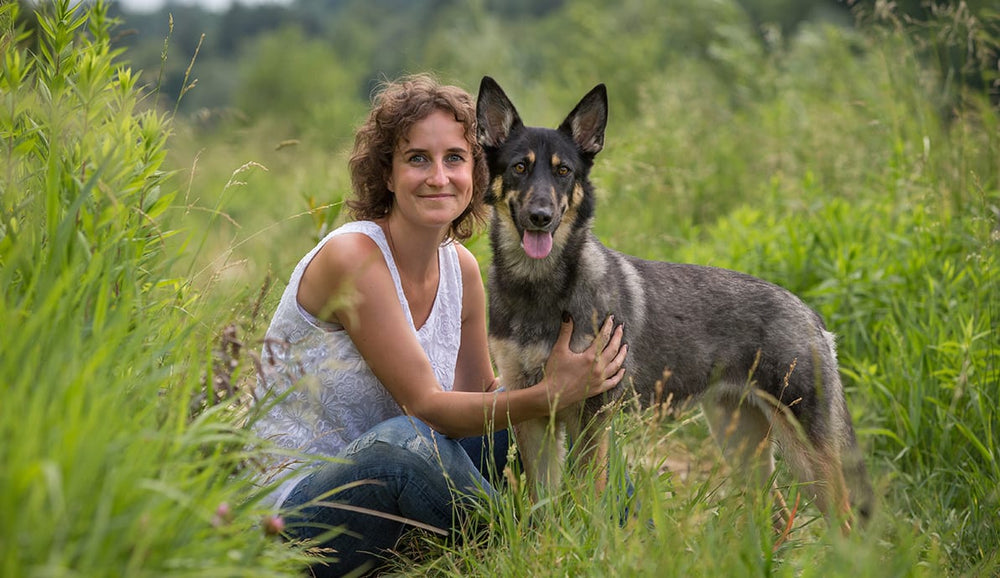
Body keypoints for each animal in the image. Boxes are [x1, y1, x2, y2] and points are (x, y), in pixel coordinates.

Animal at [476, 75, 876, 528]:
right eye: (519, 167)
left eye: (564, 171)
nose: (541, 217)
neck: (538, 288)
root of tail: (811, 316)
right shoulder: (530, 411)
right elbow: (542, 508)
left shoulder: (592, 416)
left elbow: (586, 500)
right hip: (740, 441)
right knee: (776, 516)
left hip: (807, 453)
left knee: (844, 522)